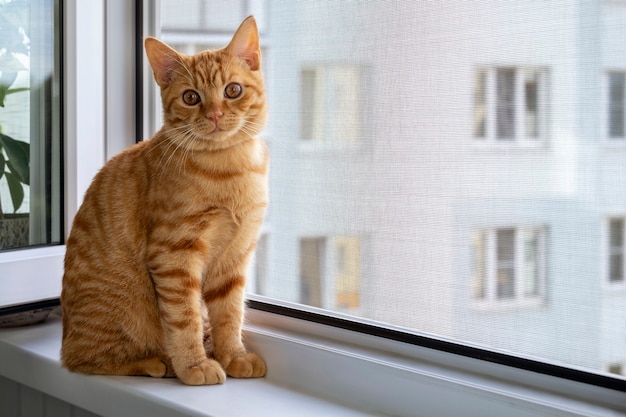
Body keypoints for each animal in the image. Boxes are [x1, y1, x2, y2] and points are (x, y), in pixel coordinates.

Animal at [61, 17, 268, 386]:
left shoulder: (235, 257)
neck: (229, 168)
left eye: (232, 90)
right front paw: (195, 365)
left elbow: (230, 313)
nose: (215, 115)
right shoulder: (174, 255)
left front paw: (234, 355)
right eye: (191, 97)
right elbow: (185, 317)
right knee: (83, 359)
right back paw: (160, 363)